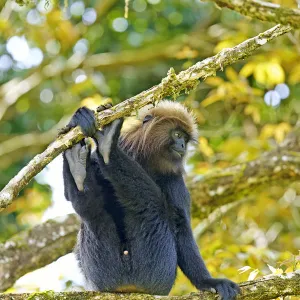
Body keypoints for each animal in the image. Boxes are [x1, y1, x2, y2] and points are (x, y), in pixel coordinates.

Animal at [62, 101, 240, 300]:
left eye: (185, 140)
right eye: (178, 135)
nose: (182, 145)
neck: (145, 161)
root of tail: (128, 286)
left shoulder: (174, 180)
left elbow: (181, 227)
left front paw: (208, 282)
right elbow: (68, 196)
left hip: (157, 272)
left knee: (152, 206)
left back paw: (107, 150)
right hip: (101, 274)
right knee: (93, 212)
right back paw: (81, 163)